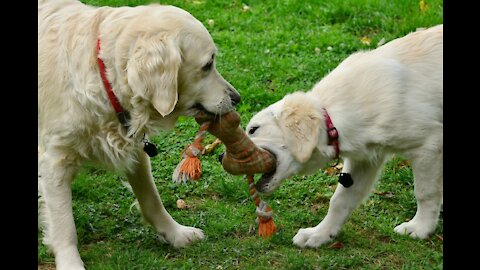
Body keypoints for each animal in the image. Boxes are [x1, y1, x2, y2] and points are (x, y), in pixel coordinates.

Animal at [37, 0, 240, 268]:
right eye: (207, 65)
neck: (103, 77)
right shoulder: (55, 160)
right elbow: (64, 225)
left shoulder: (135, 150)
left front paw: (176, 233)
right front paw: (70, 263)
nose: (237, 98)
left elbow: (152, 199)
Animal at [248, 25, 442, 249]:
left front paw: (420, 228)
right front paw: (320, 234)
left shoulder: (428, 145)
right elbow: (340, 200)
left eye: (253, 129)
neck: (333, 117)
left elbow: (425, 192)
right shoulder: (365, 159)